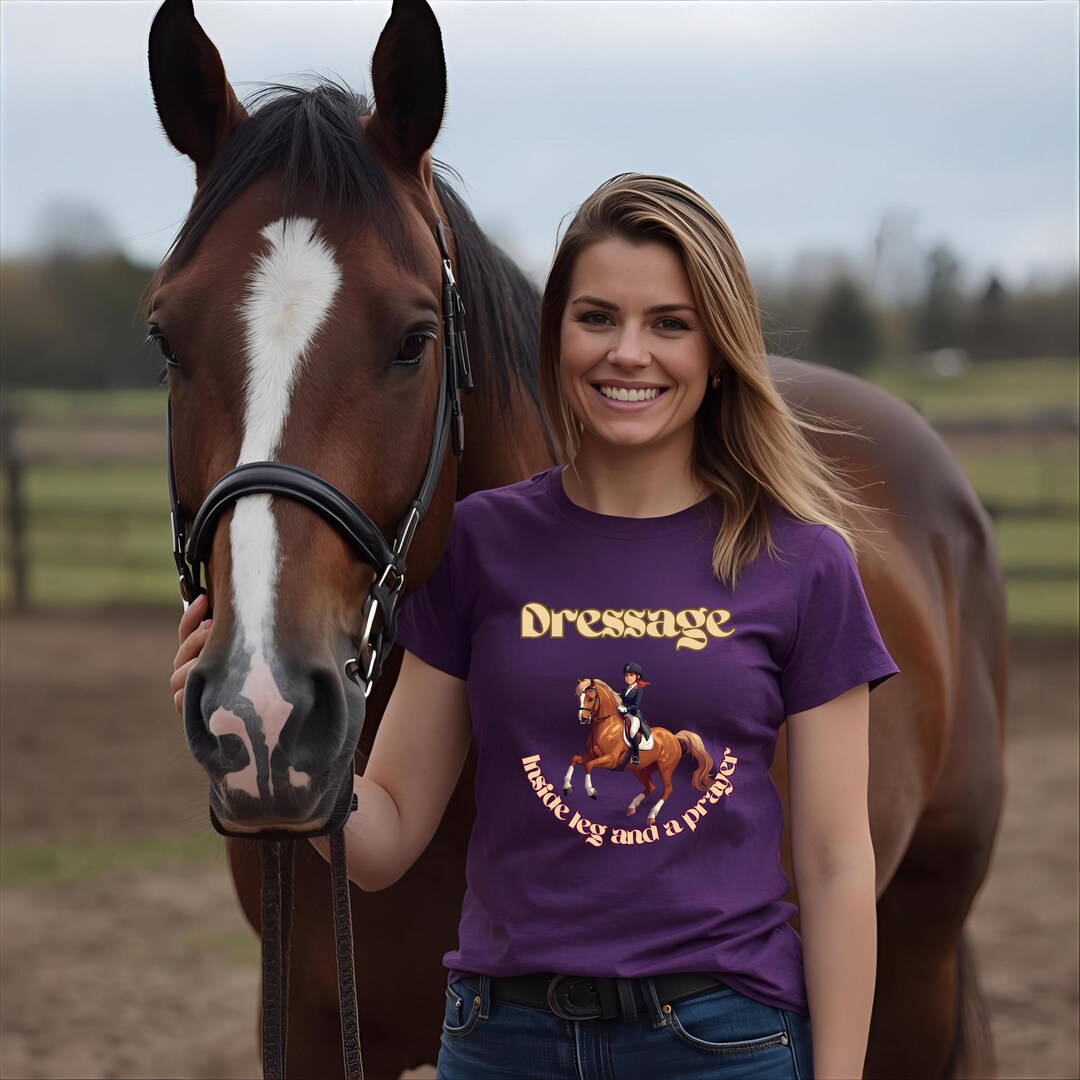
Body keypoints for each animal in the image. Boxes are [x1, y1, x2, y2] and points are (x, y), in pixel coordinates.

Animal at [564, 677, 722, 823]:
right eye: (579, 698)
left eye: (591, 698)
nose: (582, 719)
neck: (606, 726)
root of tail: (674, 736)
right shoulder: (591, 756)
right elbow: (575, 758)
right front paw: (567, 787)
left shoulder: (610, 760)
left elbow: (589, 766)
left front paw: (591, 791)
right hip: (642, 769)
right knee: (651, 787)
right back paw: (632, 806)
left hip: (665, 769)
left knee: (667, 790)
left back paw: (651, 815)